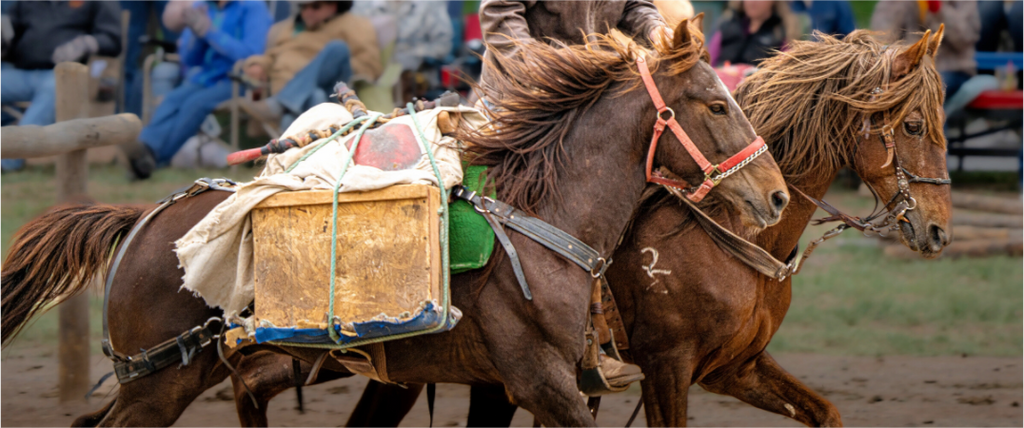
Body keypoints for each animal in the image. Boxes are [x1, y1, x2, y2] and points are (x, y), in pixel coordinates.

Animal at [0, 18, 789, 428]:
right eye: (715, 104)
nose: (777, 195)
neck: (537, 220)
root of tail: (143, 221)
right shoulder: (542, 381)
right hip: (158, 382)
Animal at [227, 29, 954, 428]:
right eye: (914, 125)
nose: (941, 231)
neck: (731, 242)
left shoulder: (734, 367)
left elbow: (826, 412)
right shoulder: (665, 368)